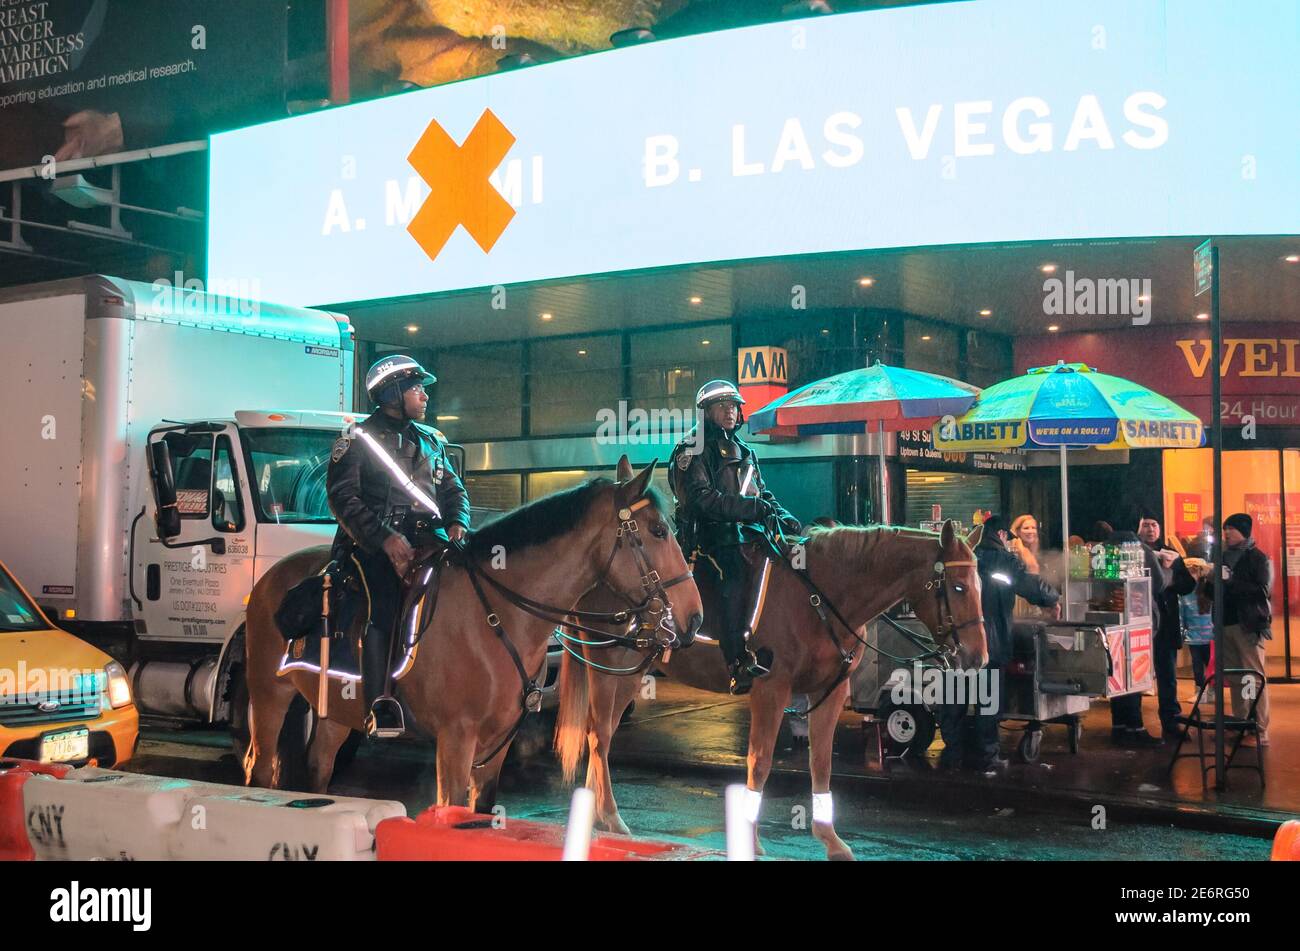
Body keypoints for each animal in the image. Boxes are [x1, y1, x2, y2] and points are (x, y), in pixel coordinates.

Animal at [243, 459, 702, 810]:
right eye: (659, 530)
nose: (694, 618)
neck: (497, 617)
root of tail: (271, 578)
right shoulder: (456, 740)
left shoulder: (496, 745)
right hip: (269, 695)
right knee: (259, 767)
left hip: (337, 712)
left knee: (319, 766)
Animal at [551, 519, 982, 862]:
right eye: (959, 587)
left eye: (981, 583)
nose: (978, 656)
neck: (821, 598)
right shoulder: (771, 690)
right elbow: (759, 761)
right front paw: (751, 840)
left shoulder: (830, 692)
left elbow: (820, 762)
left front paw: (831, 840)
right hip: (610, 664)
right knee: (599, 734)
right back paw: (610, 815)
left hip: (630, 672)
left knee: (600, 734)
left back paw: (597, 812)